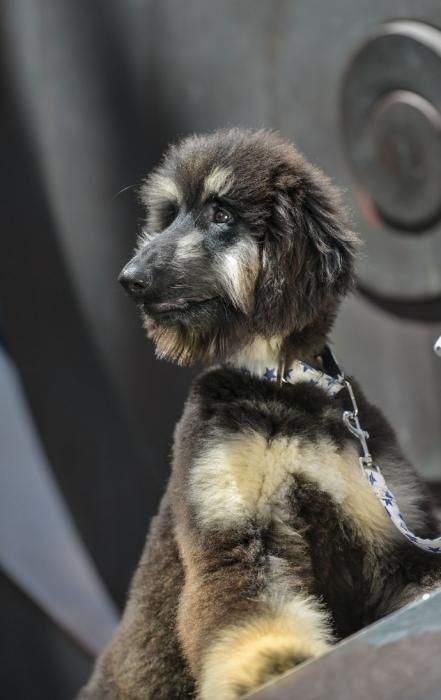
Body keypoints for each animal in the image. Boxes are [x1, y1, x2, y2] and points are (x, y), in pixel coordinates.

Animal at [79, 130, 440, 700]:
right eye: (170, 214)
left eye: (221, 212)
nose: (130, 279)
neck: (282, 384)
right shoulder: (237, 533)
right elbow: (250, 615)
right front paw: (272, 665)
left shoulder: (391, 537)